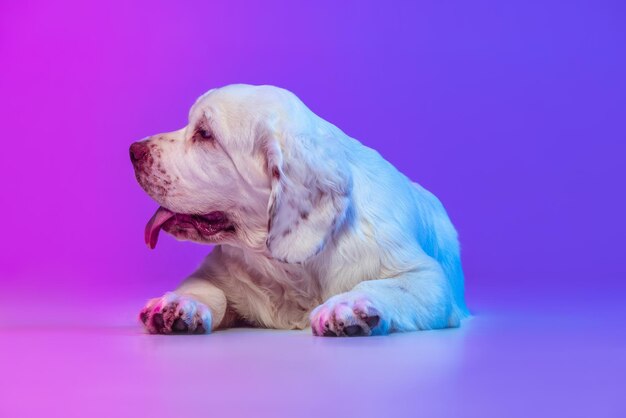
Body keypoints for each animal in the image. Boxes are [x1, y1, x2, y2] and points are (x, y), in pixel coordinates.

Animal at [129, 85, 466, 336]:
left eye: (206, 134)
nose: (133, 151)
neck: (294, 271)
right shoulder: (217, 269)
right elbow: (205, 288)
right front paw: (179, 304)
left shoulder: (427, 277)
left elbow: (383, 284)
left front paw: (348, 305)